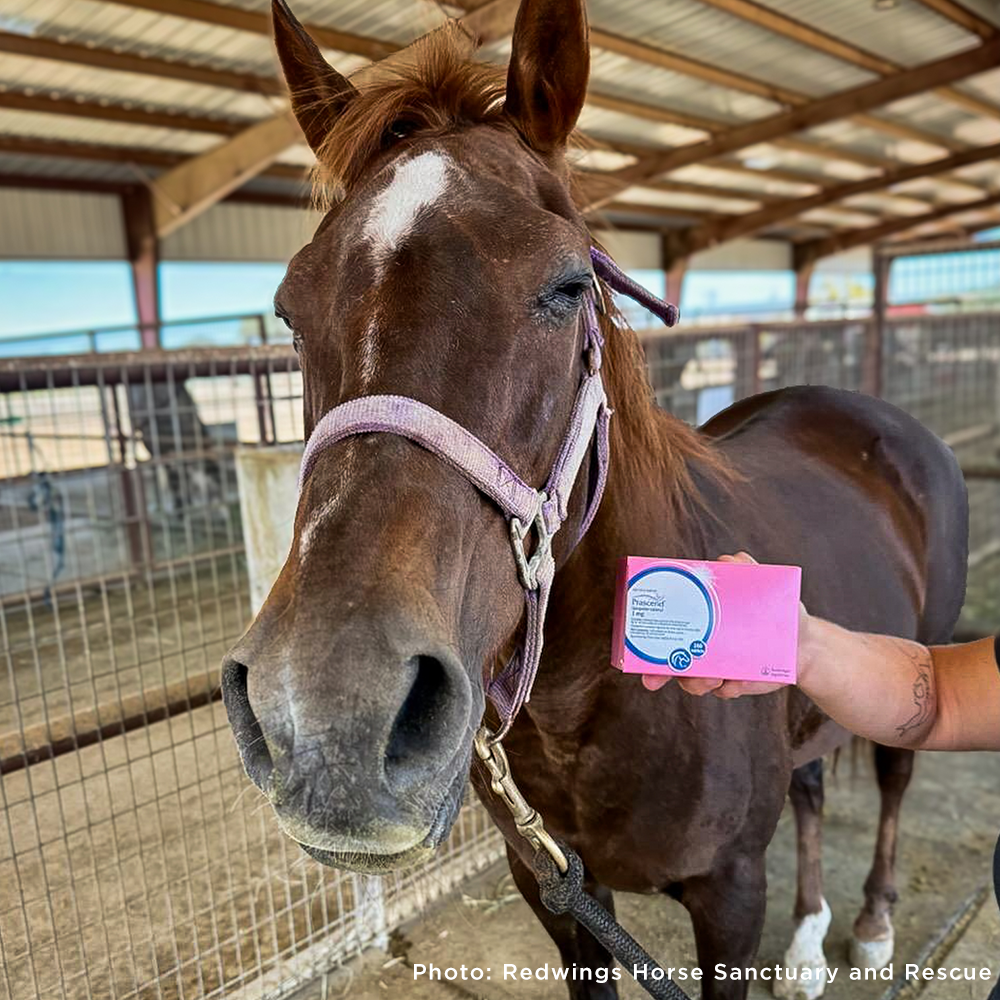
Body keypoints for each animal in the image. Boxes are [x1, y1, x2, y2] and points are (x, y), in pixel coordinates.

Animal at [220, 1, 969, 997]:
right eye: (289, 309)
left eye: (569, 283)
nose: (326, 718)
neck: (590, 703)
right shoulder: (561, 897)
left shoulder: (731, 894)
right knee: (812, 790)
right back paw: (810, 944)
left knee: (891, 781)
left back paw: (874, 926)